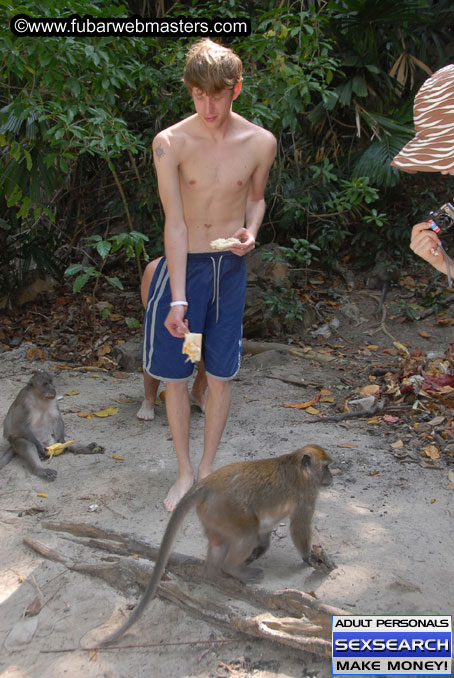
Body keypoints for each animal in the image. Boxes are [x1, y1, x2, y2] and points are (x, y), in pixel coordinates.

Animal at [101, 446, 332, 648]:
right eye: (326, 467)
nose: (332, 476)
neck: (298, 466)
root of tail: (208, 483)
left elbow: (265, 532)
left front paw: (260, 551)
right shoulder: (307, 494)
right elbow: (299, 527)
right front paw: (309, 557)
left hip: (213, 513)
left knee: (220, 542)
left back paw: (214, 573)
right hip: (228, 508)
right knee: (246, 535)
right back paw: (233, 569)